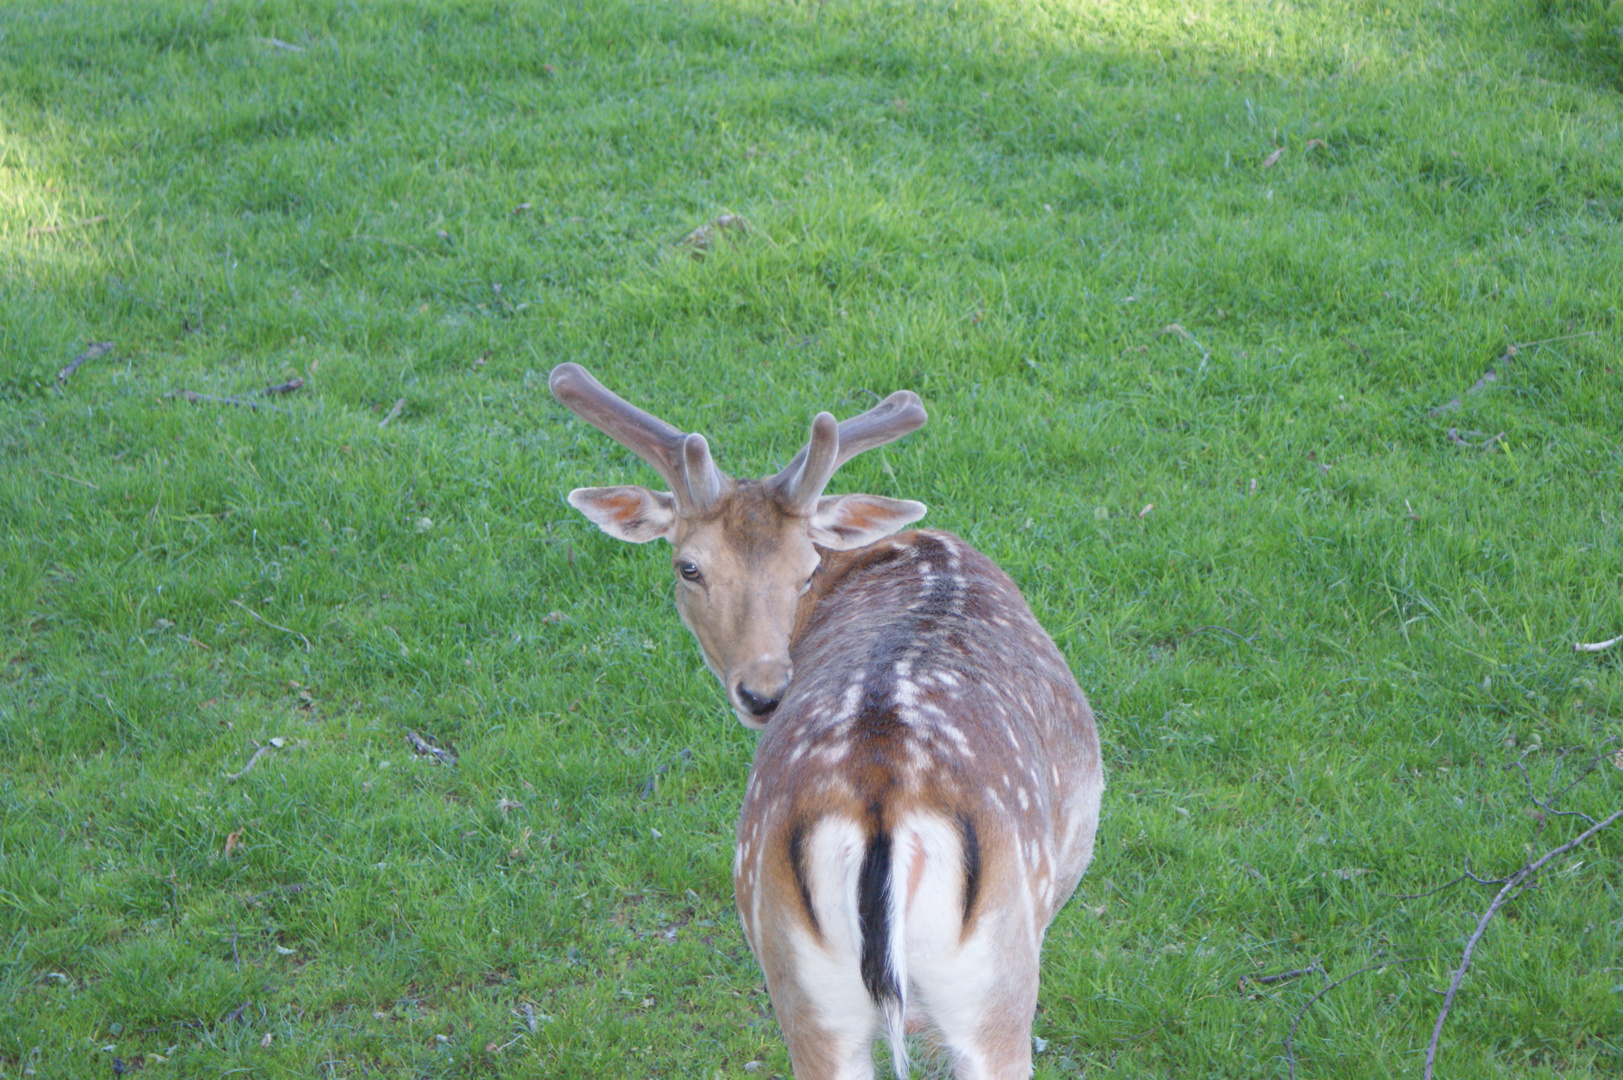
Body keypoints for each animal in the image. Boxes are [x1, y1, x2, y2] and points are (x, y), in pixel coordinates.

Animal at [555, 363, 1103, 1078]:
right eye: (689, 566)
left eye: (806, 563)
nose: (764, 692)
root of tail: (881, 811)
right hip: (995, 979)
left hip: (802, 982)